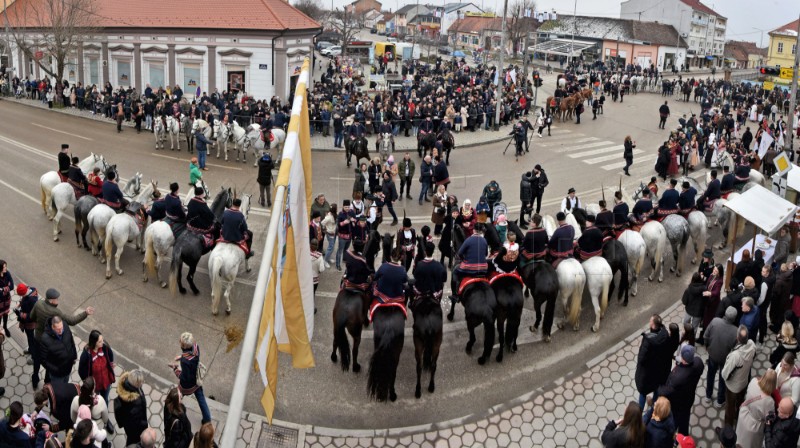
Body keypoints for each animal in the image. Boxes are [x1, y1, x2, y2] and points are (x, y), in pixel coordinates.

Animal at [332, 229, 382, 372]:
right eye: (378, 240)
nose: (379, 249)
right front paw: (367, 321)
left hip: (336, 327)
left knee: (335, 341)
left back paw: (334, 357)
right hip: (356, 333)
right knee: (354, 350)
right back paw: (355, 366)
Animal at [450, 226, 494, 366]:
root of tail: (487, 310)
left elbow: (453, 302)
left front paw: (450, 315)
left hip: (470, 320)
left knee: (473, 338)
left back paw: (469, 348)